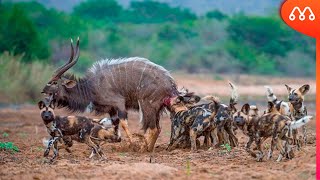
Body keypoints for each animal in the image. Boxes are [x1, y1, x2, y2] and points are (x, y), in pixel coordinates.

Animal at [41, 38, 179, 153]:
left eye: (54, 82)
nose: (43, 91)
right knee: (158, 128)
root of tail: (171, 84)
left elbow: (123, 123)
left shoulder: (119, 103)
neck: (91, 87)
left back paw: (144, 149)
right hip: (156, 109)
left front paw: (133, 146)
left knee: (153, 128)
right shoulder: (111, 110)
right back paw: (148, 148)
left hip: (146, 105)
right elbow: (115, 128)